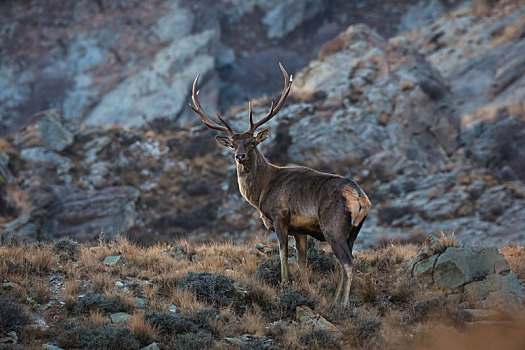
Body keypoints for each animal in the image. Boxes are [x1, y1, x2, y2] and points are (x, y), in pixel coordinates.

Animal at [187, 63, 368, 306]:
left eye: (252, 143)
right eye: (233, 144)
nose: (240, 156)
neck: (262, 192)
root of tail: (360, 198)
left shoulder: (280, 215)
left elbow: (283, 252)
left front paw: (284, 283)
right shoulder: (300, 229)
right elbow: (302, 259)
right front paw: (305, 287)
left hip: (334, 225)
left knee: (347, 261)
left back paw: (342, 303)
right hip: (354, 229)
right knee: (345, 260)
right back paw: (335, 299)